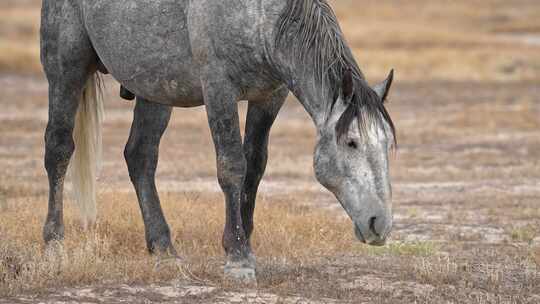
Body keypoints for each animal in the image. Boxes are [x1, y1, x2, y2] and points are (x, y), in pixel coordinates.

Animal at [40, 0, 396, 280]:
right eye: (351, 142)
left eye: (387, 145)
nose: (379, 224)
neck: (261, 14)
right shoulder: (219, 90)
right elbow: (232, 167)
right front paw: (238, 258)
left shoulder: (270, 96)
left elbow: (254, 167)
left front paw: (243, 242)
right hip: (66, 70)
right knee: (58, 150)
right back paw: (54, 244)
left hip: (155, 89)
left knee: (140, 156)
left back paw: (164, 250)